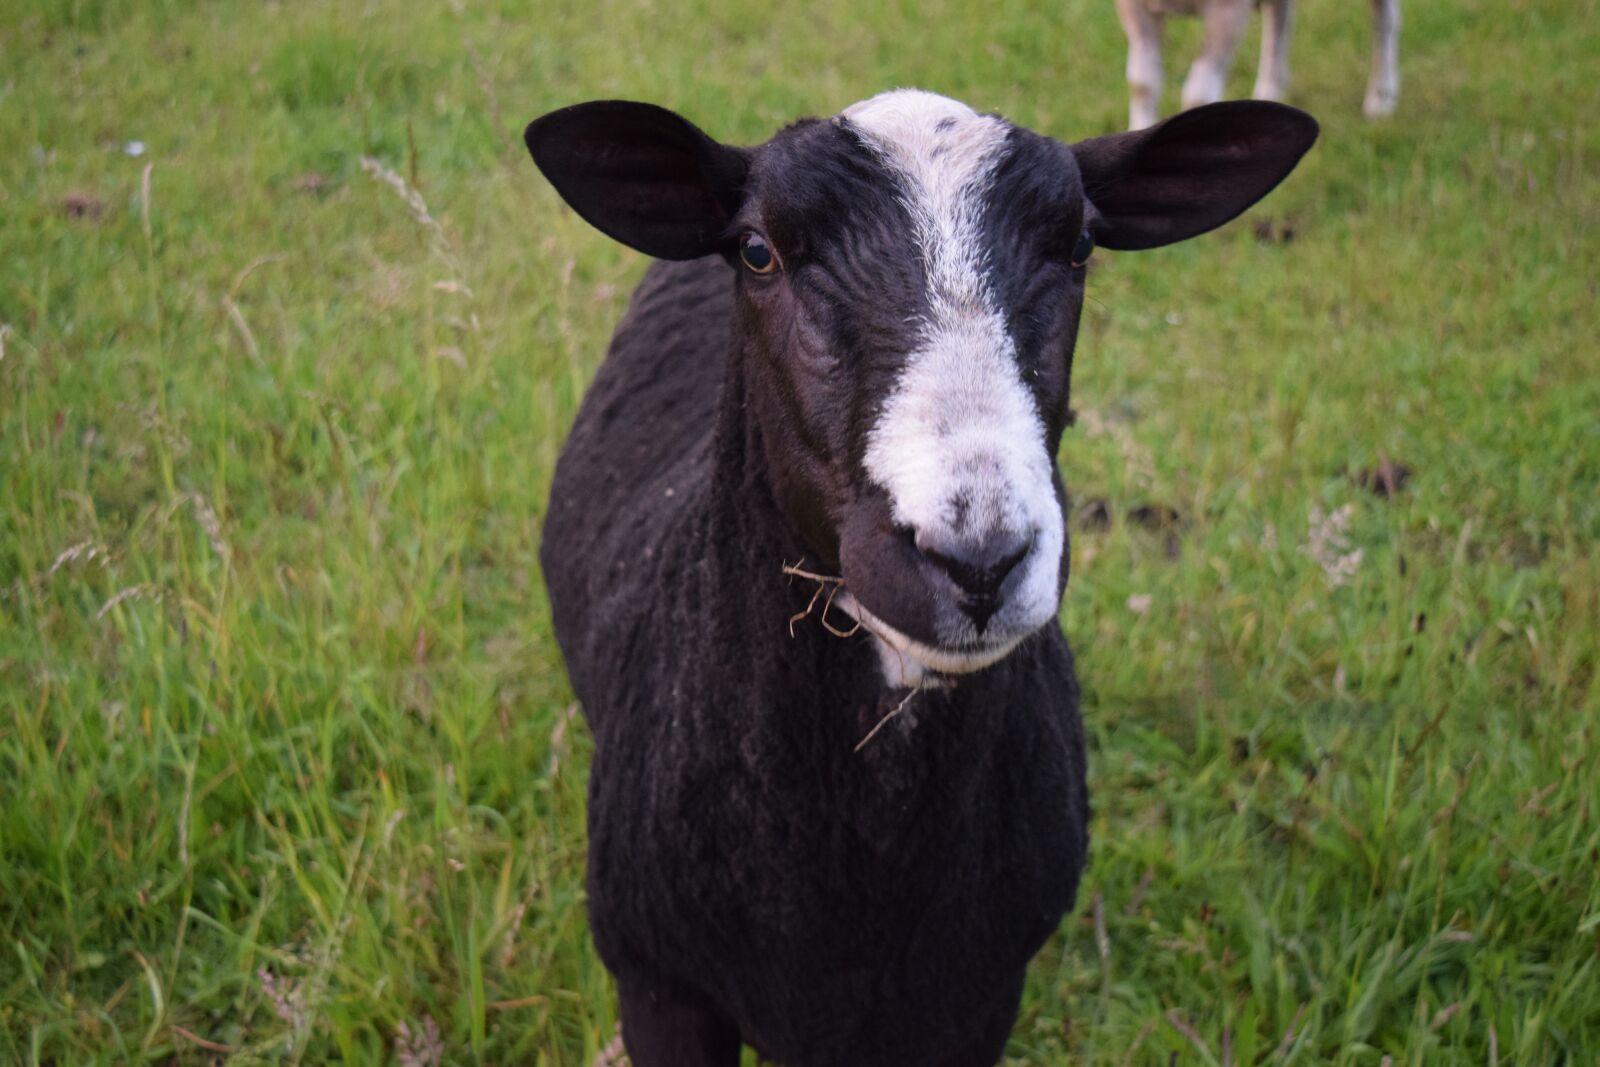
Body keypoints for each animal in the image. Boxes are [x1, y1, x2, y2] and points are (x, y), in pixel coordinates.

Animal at [1116, 0, 1401, 129]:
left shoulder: (1226, 13)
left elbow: (1197, 94)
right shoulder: (1134, 8)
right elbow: (1142, 83)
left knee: (1385, 19)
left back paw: (1381, 98)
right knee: (1279, 15)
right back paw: (1270, 92)